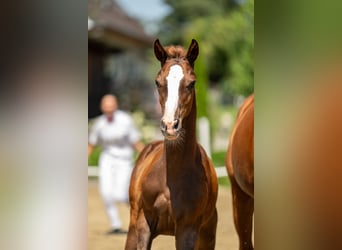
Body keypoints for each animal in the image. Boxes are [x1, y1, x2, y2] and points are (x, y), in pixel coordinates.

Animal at [124, 39, 218, 250]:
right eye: (157, 82)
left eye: (192, 83)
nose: (169, 126)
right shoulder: (143, 222)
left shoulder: (187, 230)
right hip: (132, 225)